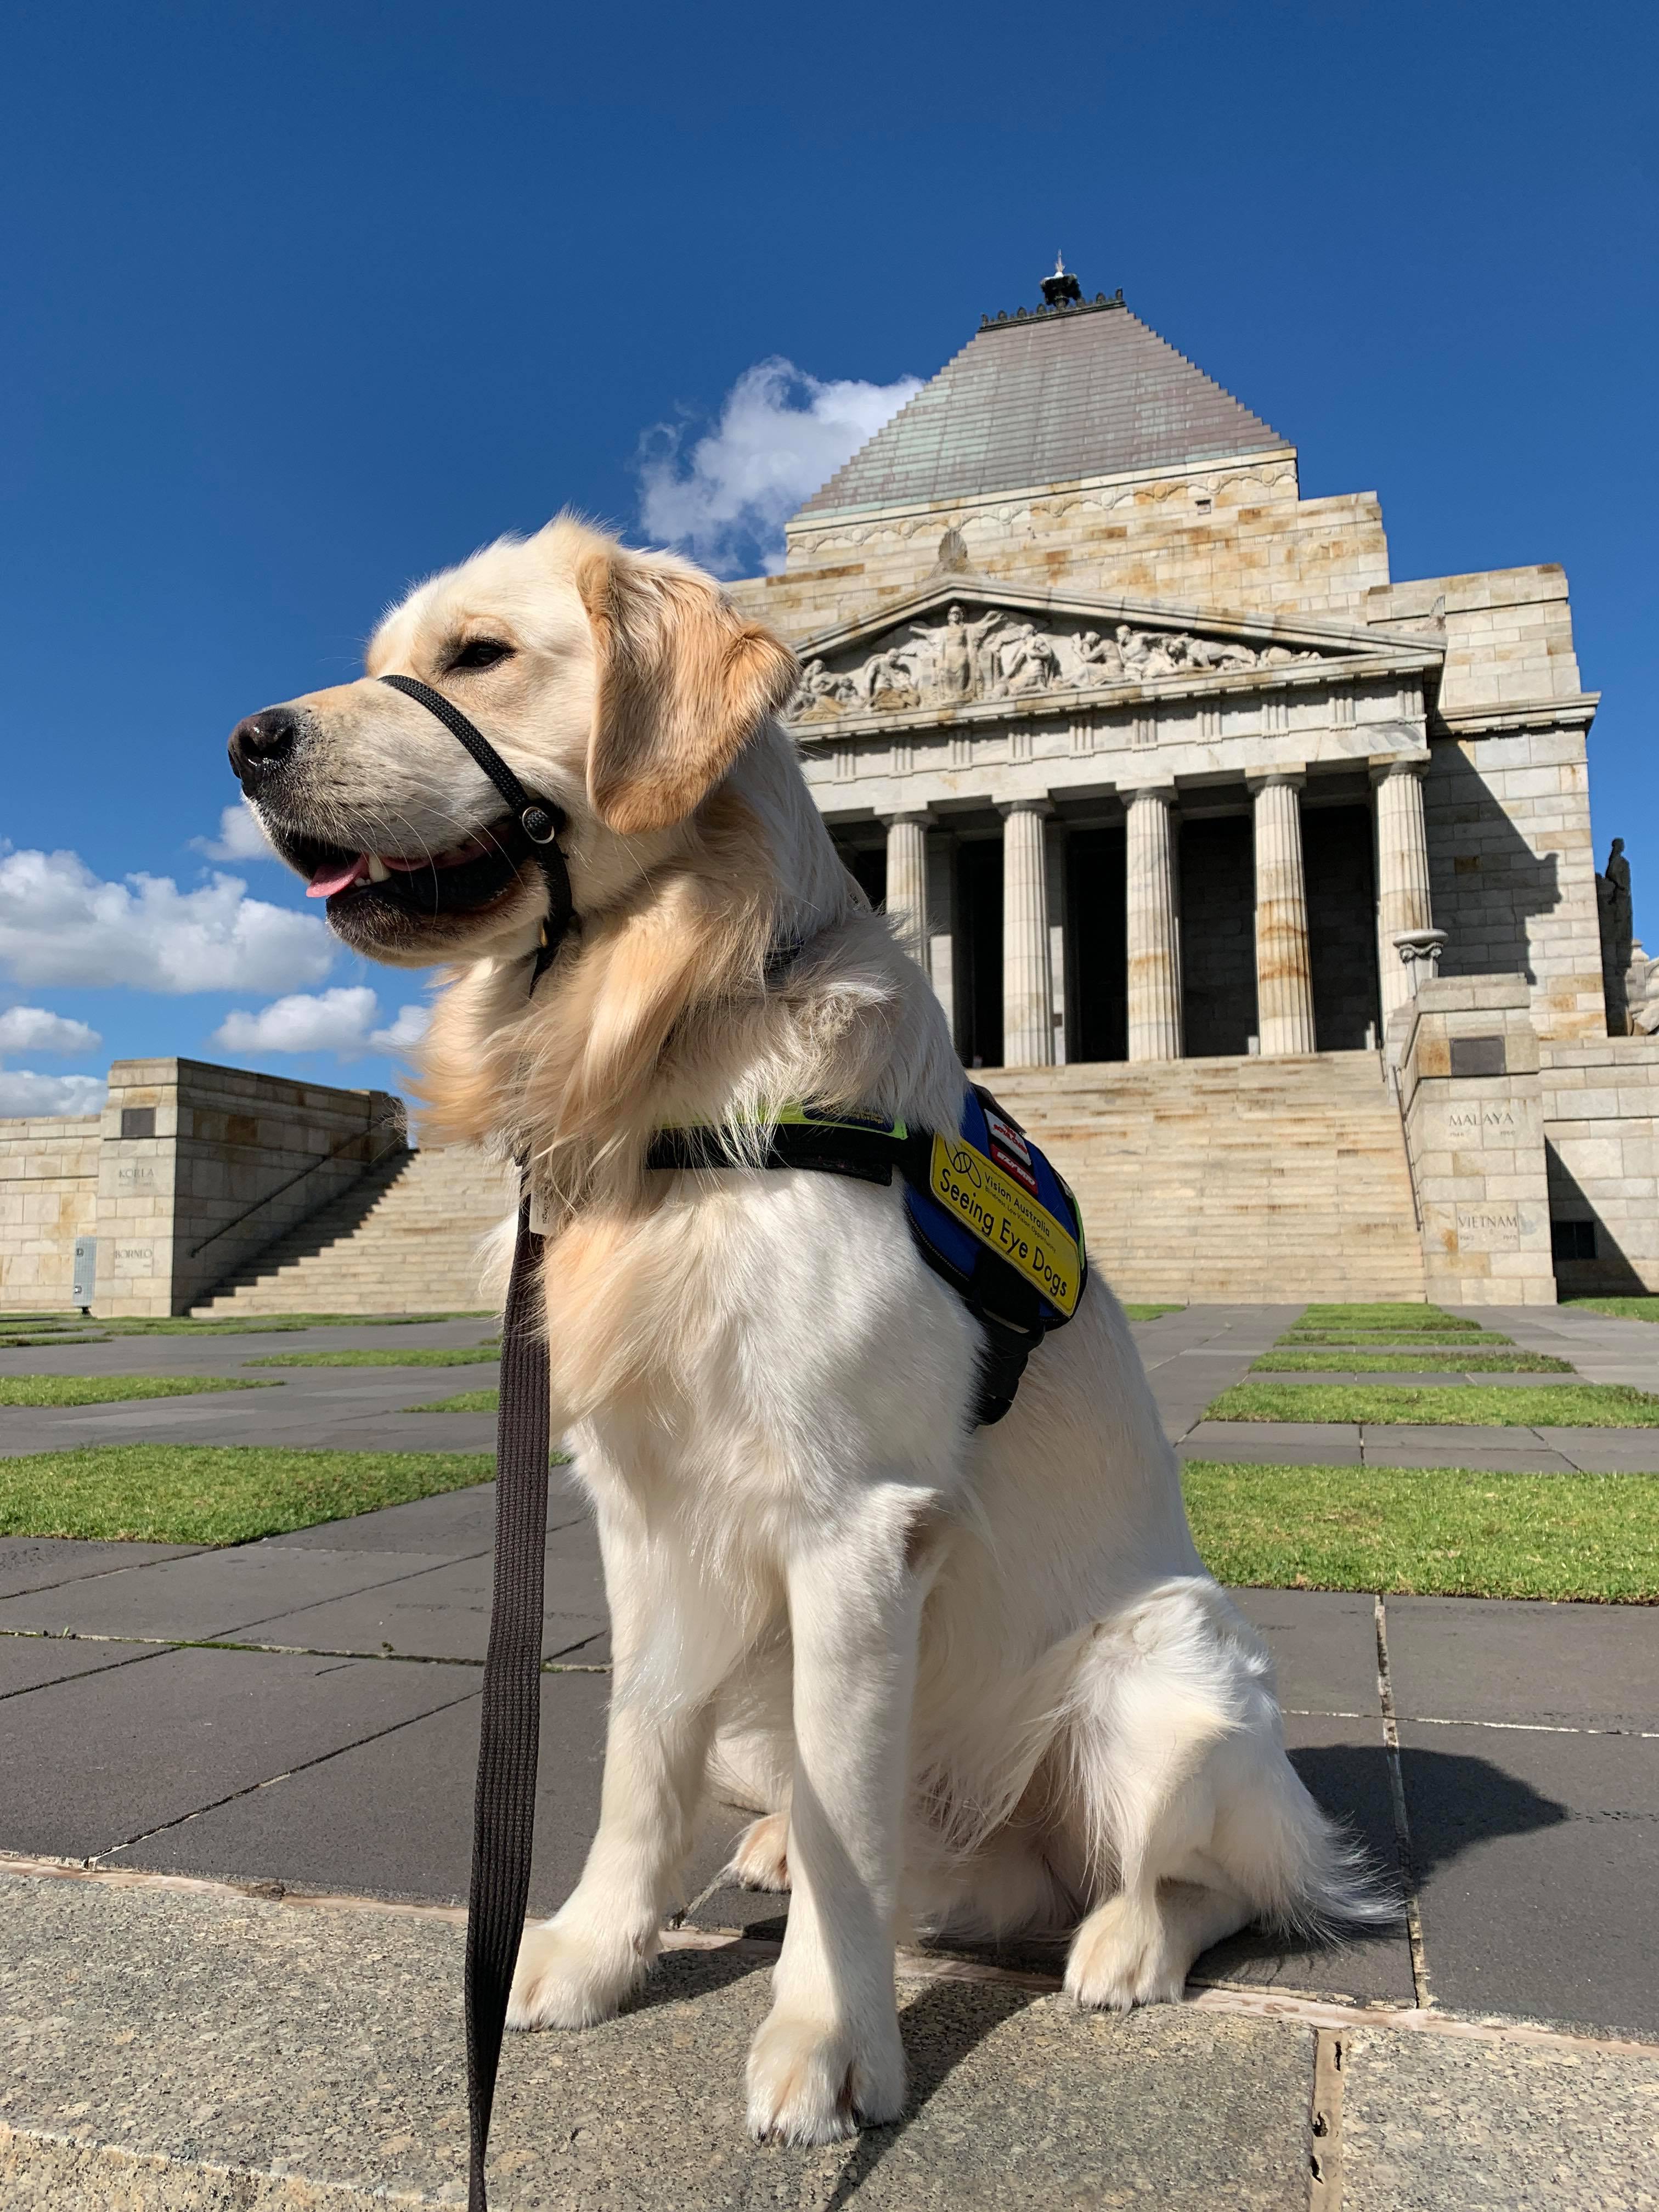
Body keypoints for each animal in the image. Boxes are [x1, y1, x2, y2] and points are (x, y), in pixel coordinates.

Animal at [228, 517, 1380, 2141]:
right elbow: (637, 1760)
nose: (247, 743)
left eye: (478, 655)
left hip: (1171, 1675)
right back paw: (783, 1860)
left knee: (1211, 1879)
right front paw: (589, 1951)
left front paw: (829, 2039)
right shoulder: (644, 1514)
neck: (668, 1049)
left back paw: (1125, 1944)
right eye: (387, 655)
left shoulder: (855, 1525)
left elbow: (852, 1839)